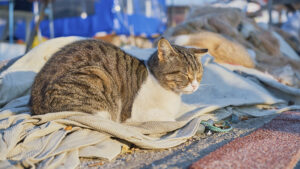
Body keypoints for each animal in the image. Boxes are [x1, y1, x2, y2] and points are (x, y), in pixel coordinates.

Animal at [31, 38, 209, 123]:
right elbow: (170, 119)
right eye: (185, 74)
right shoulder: (136, 113)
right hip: (97, 76)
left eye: (199, 74)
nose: (195, 85)